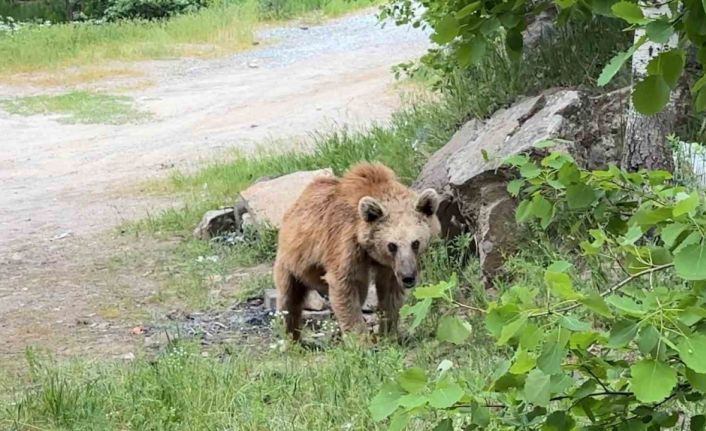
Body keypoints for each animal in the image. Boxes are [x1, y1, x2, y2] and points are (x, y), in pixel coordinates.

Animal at [272, 162, 438, 340]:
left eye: (415, 243)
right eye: (392, 245)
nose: (408, 278)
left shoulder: (390, 266)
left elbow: (390, 294)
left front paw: (388, 333)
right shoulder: (345, 245)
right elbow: (345, 286)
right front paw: (361, 339)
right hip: (292, 261)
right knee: (288, 300)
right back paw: (291, 337)